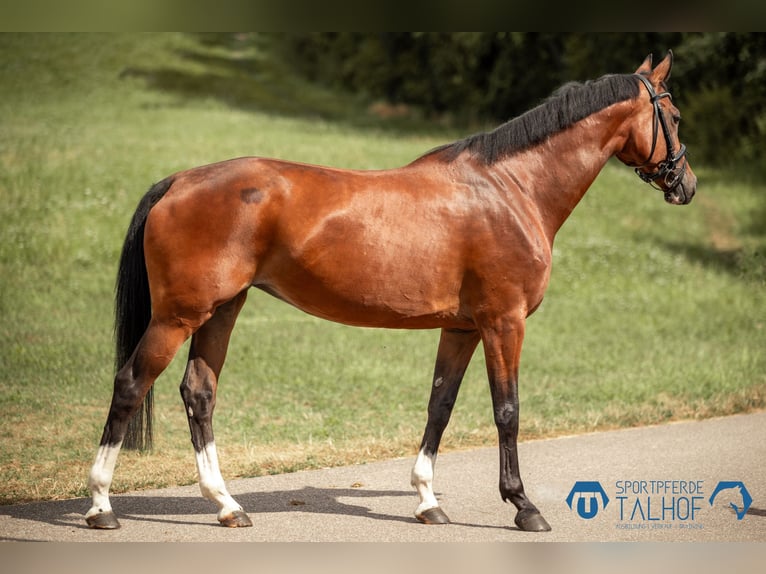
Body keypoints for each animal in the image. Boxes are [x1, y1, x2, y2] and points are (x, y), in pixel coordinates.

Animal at [85, 51, 696, 532]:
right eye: (674, 114)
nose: (686, 185)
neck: (510, 188)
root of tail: (180, 181)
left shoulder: (462, 327)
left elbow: (440, 406)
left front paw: (427, 501)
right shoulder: (504, 322)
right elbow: (507, 410)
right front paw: (523, 506)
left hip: (219, 310)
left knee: (199, 393)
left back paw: (227, 505)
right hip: (178, 315)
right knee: (130, 384)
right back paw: (101, 506)